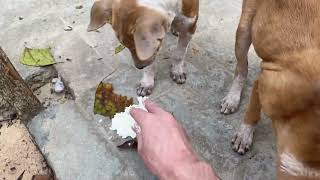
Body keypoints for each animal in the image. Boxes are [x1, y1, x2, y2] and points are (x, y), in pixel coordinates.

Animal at [228, 0, 320, 179]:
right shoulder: (264, 83)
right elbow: (252, 113)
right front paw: (244, 135)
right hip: (244, 30)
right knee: (241, 68)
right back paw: (232, 98)